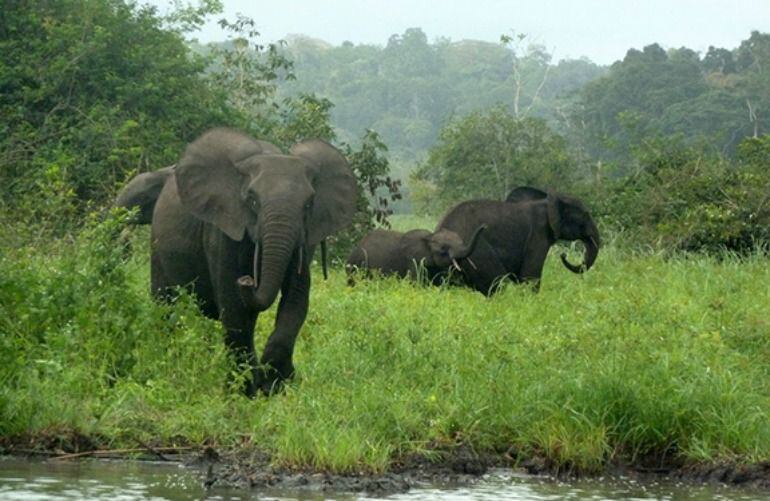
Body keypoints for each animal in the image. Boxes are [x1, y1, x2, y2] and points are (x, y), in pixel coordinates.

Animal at [119, 128, 356, 394]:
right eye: (252, 200)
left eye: (309, 204)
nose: (247, 280)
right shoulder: (222, 228)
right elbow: (232, 304)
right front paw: (247, 390)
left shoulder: (306, 237)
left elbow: (296, 298)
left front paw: (276, 383)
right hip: (159, 248)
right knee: (166, 305)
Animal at [436, 187, 596, 296]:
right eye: (585, 215)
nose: (563, 255)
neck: (549, 201)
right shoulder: (538, 235)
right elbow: (529, 276)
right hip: (477, 251)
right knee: (498, 284)